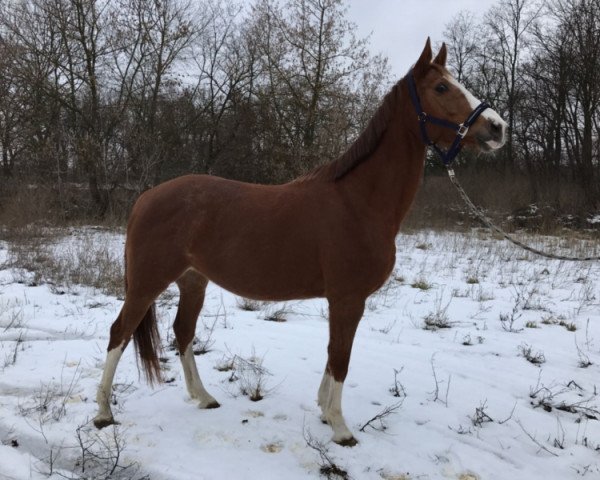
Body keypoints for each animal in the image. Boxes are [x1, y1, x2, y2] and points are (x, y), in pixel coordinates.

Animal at [94, 40, 506, 446]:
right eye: (441, 87)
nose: (497, 127)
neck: (358, 201)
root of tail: (147, 197)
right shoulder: (348, 298)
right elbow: (340, 357)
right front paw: (340, 428)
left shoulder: (342, 299)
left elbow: (333, 354)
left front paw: (324, 411)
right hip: (148, 282)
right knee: (119, 332)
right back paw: (103, 413)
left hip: (193, 280)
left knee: (183, 332)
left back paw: (203, 396)